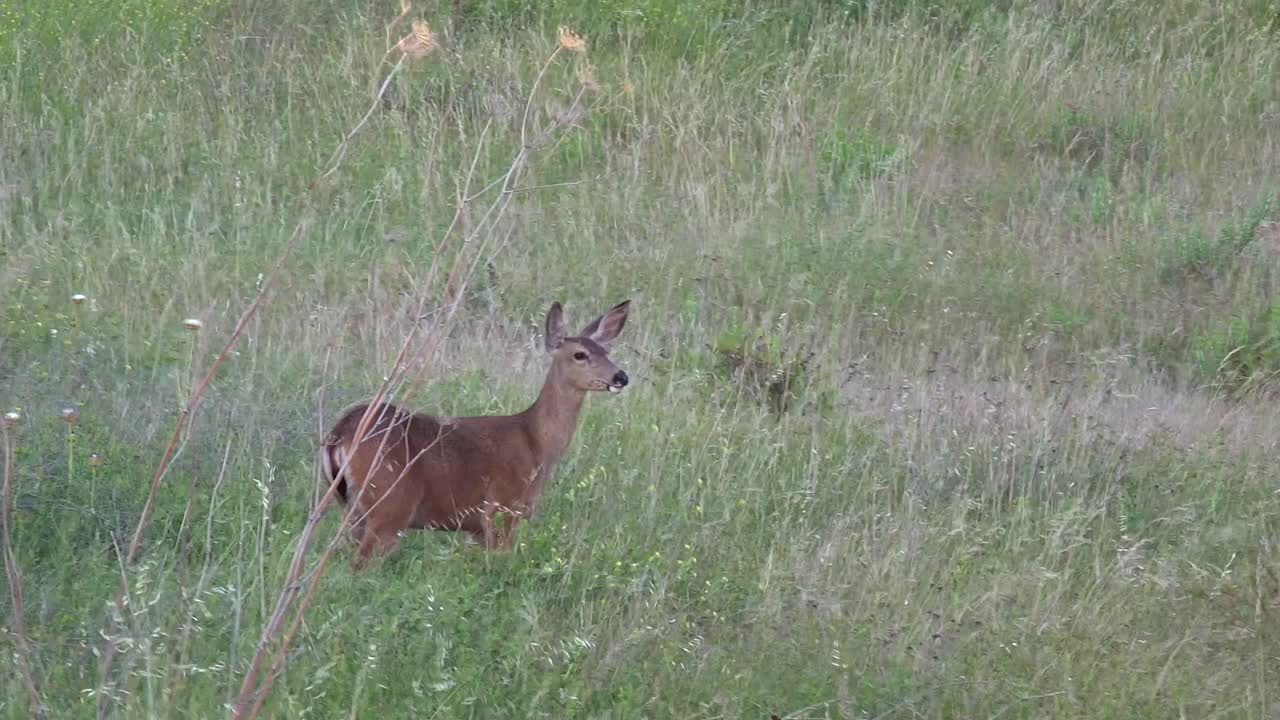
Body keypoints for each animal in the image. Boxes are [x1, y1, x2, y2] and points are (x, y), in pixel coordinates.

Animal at [321, 300, 631, 570]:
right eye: (580, 354)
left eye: (607, 351)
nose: (621, 377)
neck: (536, 442)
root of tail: (341, 432)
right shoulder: (503, 508)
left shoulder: (476, 528)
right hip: (390, 504)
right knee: (360, 565)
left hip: (349, 506)